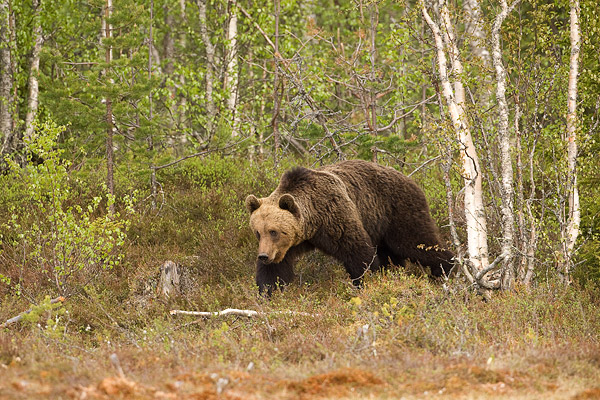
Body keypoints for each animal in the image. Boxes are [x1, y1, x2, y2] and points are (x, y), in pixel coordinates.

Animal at [246, 159, 452, 294]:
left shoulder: (335, 216)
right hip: (380, 226)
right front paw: (268, 291)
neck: (313, 222)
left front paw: (366, 280)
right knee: (392, 254)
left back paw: (444, 269)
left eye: (274, 231)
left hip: (397, 211)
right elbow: (275, 270)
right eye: (258, 232)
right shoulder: (289, 245)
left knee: (416, 241)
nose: (263, 256)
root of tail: (412, 180)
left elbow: (358, 252)